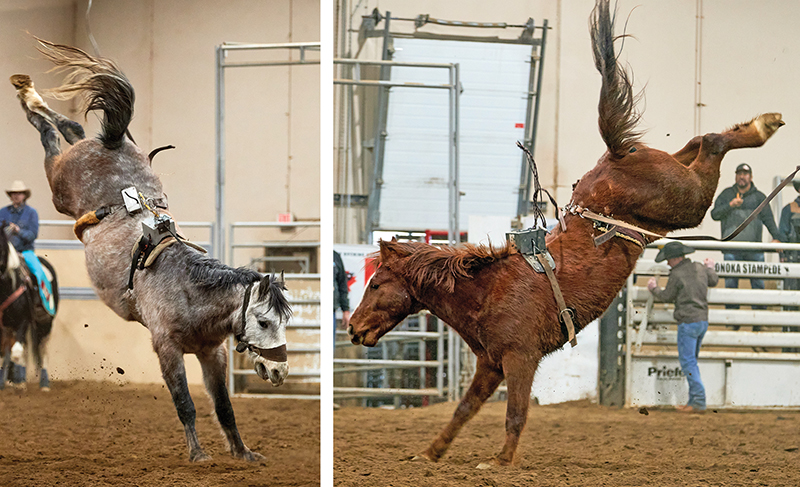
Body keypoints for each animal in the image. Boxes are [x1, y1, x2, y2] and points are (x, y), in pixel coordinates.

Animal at [0, 224, 58, 390]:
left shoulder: (23, 321)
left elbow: (16, 352)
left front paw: (16, 381)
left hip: (46, 322)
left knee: (42, 348)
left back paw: (43, 384)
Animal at [11, 40, 292, 462]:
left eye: (285, 321)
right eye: (263, 321)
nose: (279, 372)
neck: (189, 291)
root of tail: (111, 142)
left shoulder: (213, 352)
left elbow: (224, 406)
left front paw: (243, 453)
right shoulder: (166, 348)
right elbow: (185, 403)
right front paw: (198, 455)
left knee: (74, 129)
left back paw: (31, 94)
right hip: (59, 186)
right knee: (48, 136)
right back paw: (27, 94)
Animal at [348, 0, 784, 469]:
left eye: (375, 284)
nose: (352, 329)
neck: (486, 289)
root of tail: (617, 154)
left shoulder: (519, 359)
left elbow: (516, 412)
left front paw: (500, 461)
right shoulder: (490, 364)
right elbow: (463, 410)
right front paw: (431, 453)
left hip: (686, 201)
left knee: (712, 145)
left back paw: (762, 125)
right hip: (671, 181)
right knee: (696, 142)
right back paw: (757, 125)